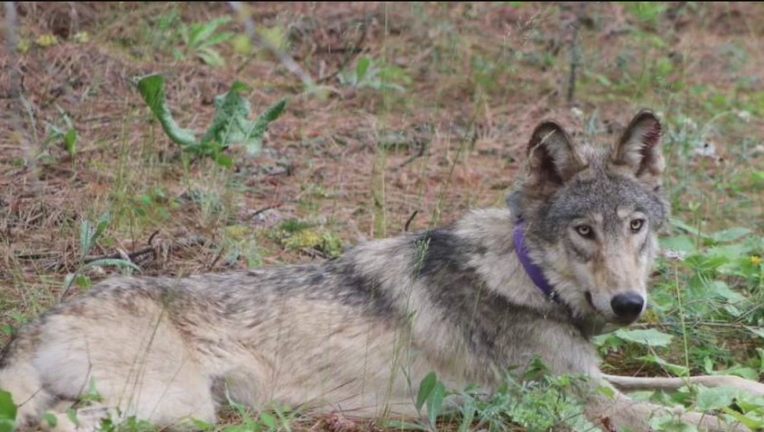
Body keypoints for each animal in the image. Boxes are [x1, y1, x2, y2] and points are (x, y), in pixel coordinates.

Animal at [1, 109, 764, 430]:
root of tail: (36, 325)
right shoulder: (587, 401)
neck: (526, 277)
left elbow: (707, 382)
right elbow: (691, 417)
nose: (630, 306)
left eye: (635, 226)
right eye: (584, 232)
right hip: (174, 407)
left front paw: (746, 386)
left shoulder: (594, 378)